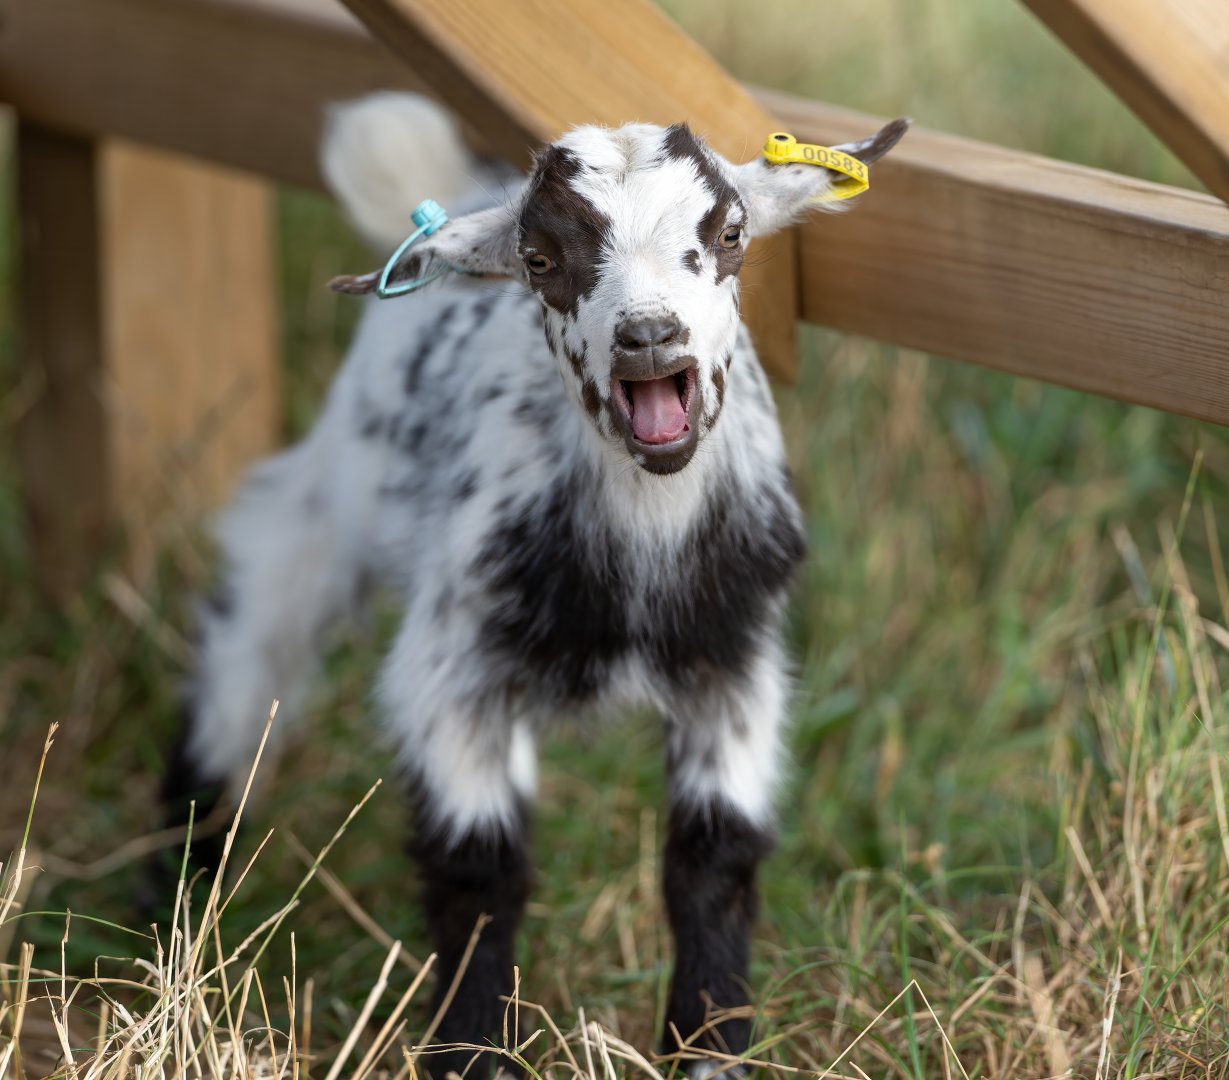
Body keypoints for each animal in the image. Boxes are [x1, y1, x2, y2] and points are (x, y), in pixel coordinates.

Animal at [151, 92, 907, 1077]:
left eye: (730, 232)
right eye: (542, 260)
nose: (648, 337)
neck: (642, 546)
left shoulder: (733, 668)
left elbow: (713, 859)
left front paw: (707, 1048)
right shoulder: (456, 671)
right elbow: (478, 869)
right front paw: (474, 1048)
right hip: (333, 494)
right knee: (255, 636)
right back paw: (178, 874)